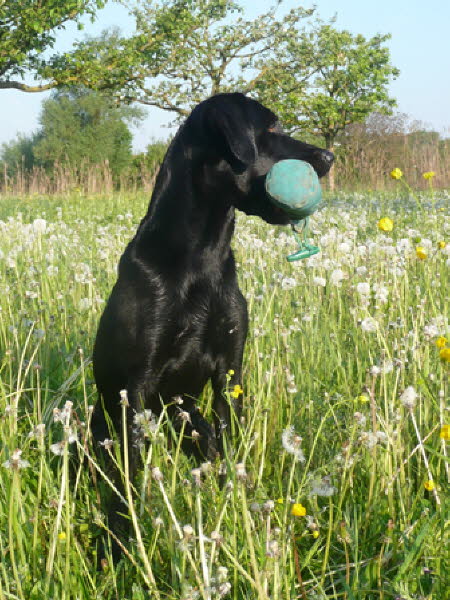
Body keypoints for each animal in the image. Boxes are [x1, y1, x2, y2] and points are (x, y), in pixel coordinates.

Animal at [91, 92, 332, 552]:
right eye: (269, 129)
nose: (328, 156)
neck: (202, 255)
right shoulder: (138, 383)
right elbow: (132, 474)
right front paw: (126, 537)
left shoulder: (229, 370)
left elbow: (229, 443)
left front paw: (237, 500)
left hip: (191, 419)